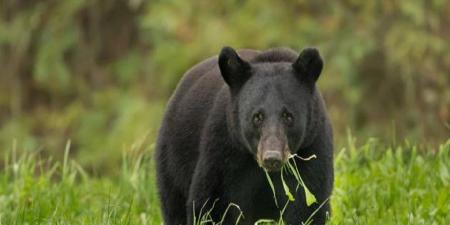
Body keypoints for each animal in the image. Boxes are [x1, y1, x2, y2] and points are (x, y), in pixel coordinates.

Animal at [156, 46, 334, 225]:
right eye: (257, 117)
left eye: (288, 116)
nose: (272, 158)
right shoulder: (224, 151)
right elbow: (212, 204)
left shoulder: (312, 148)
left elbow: (306, 205)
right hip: (173, 161)